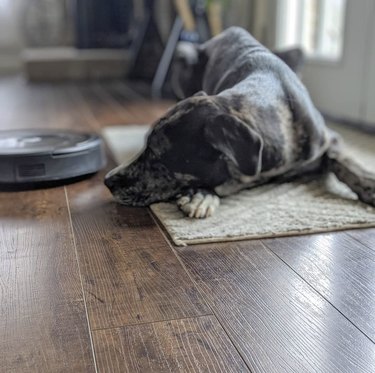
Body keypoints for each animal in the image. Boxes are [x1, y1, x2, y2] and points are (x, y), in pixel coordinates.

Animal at [106, 27, 375, 218]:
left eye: (158, 154)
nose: (107, 181)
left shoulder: (331, 138)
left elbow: (342, 160)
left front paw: (368, 185)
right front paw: (201, 195)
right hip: (184, 54)